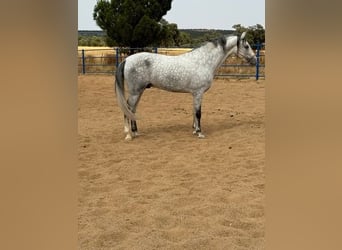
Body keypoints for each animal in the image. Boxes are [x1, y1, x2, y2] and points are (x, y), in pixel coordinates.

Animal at [115, 31, 256, 141]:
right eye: (247, 46)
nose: (255, 60)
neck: (203, 61)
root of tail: (127, 59)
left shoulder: (195, 94)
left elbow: (194, 111)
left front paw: (195, 130)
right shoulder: (199, 93)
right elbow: (198, 113)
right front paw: (199, 133)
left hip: (139, 91)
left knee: (132, 110)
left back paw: (135, 132)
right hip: (135, 92)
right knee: (128, 109)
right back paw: (129, 135)